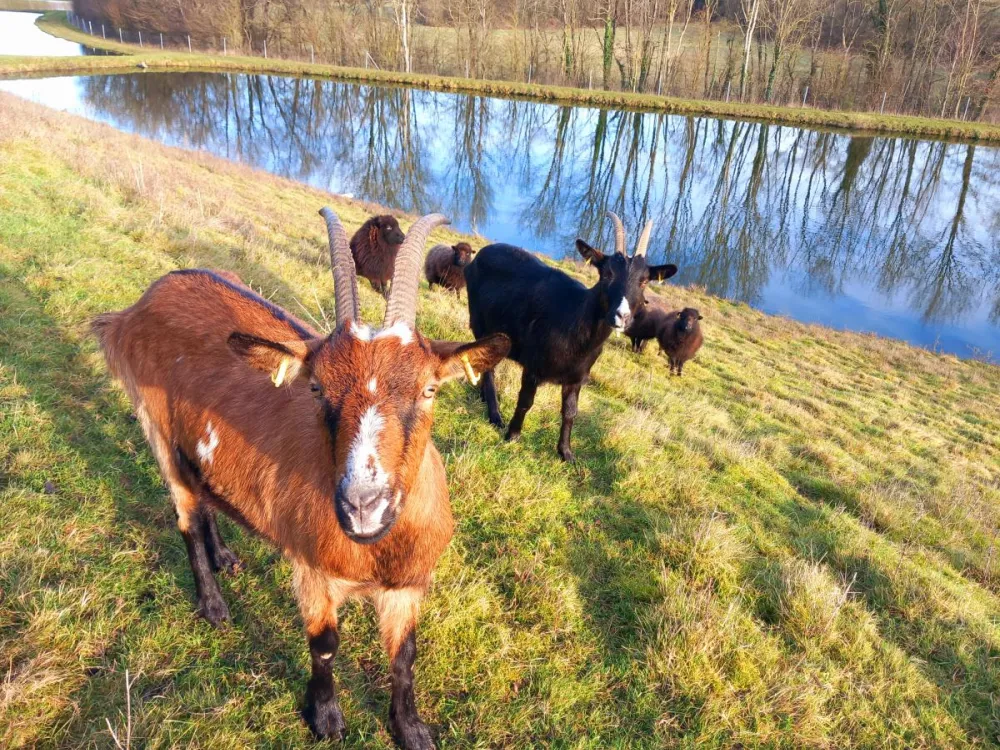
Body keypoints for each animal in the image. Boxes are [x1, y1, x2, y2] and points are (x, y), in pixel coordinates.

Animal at [92, 208, 509, 748]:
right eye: (316, 388)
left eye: (430, 389)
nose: (362, 505)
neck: (375, 550)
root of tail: (149, 297)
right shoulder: (314, 572)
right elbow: (325, 644)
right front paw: (325, 717)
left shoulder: (409, 584)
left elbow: (405, 656)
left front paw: (411, 729)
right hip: (159, 431)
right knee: (185, 516)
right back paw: (213, 604)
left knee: (205, 499)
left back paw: (225, 556)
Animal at [464, 212, 677, 461]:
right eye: (607, 274)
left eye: (644, 281)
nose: (621, 316)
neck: (574, 317)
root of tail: (482, 253)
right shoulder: (533, 367)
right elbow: (526, 401)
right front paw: (512, 435)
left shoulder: (577, 377)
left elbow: (570, 412)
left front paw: (566, 453)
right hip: (480, 322)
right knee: (488, 366)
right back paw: (495, 414)